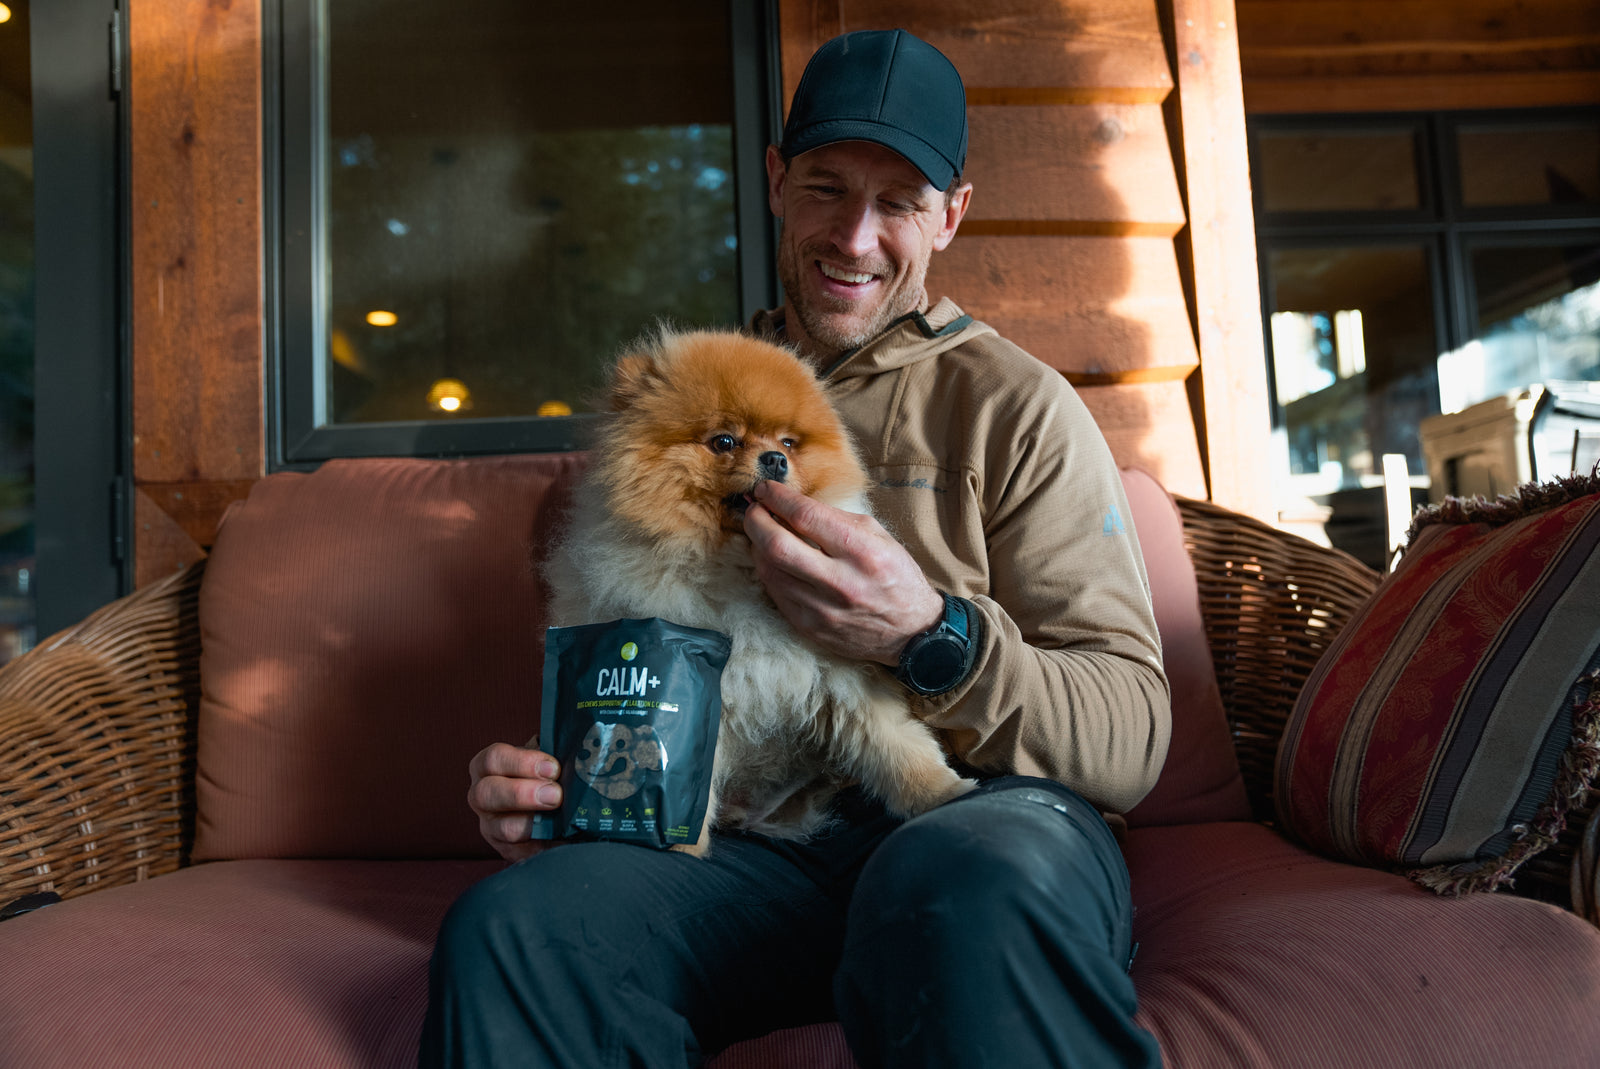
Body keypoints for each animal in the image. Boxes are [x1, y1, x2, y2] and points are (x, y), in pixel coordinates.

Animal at [544, 321, 972, 857]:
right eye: (724, 440)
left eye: (788, 443)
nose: (774, 459)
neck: (738, 568)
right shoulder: (707, 695)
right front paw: (684, 847)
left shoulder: (842, 671)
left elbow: (894, 741)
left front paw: (941, 793)